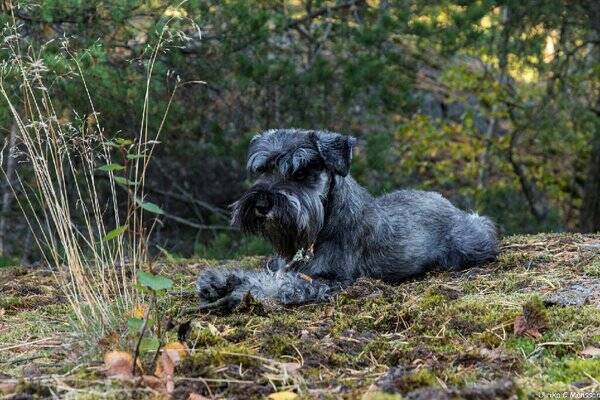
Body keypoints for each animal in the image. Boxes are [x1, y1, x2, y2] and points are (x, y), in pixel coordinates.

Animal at [197, 130, 496, 310]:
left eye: (300, 172)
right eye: (262, 170)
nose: (261, 205)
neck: (323, 224)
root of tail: (444, 200)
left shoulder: (329, 280)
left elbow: (281, 285)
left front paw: (242, 291)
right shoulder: (285, 263)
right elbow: (265, 271)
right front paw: (220, 280)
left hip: (469, 242)